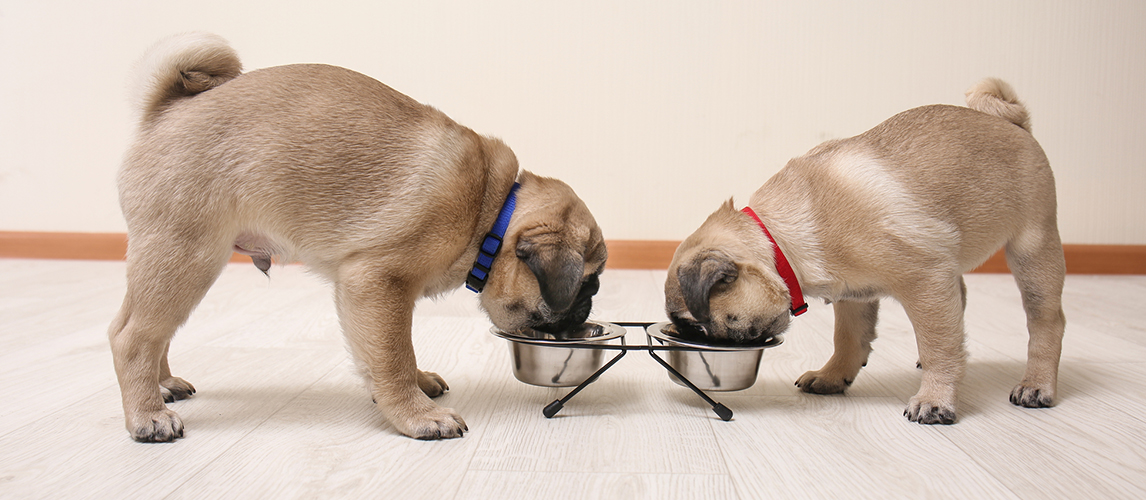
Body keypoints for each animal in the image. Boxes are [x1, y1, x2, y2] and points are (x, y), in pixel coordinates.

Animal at [108, 32, 609, 440]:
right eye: (587, 285)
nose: (586, 309)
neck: (490, 210)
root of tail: (166, 109)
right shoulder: (376, 283)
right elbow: (393, 354)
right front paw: (416, 413)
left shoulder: (376, 297)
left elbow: (383, 352)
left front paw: (411, 386)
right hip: (186, 257)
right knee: (132, 337)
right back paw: (147, 415)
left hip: (172, 264)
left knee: (146, 330)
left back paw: (163, 386)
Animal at [664, 79, 1063, 426]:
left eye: (695, 324)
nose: (695, 339)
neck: (780, 241)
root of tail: (1013, 123)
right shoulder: (854, 296)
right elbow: (849, 340)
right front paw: (832, 376)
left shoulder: (926, 282)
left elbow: (939, 345)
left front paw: (935, 399)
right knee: (960, 298)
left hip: (1033, 248)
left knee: (1046, 322)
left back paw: (1036, 385)